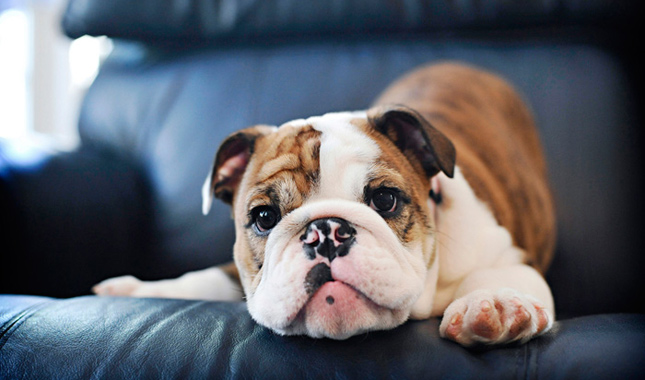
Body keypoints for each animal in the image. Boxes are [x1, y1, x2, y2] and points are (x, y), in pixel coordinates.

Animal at [94, 63, 552, 348]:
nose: (325, 231)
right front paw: (137, 289)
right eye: (264, 218)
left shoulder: (510, 256)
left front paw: (496, 304)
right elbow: (208, 277)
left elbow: (496, 276)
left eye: (385, 200)